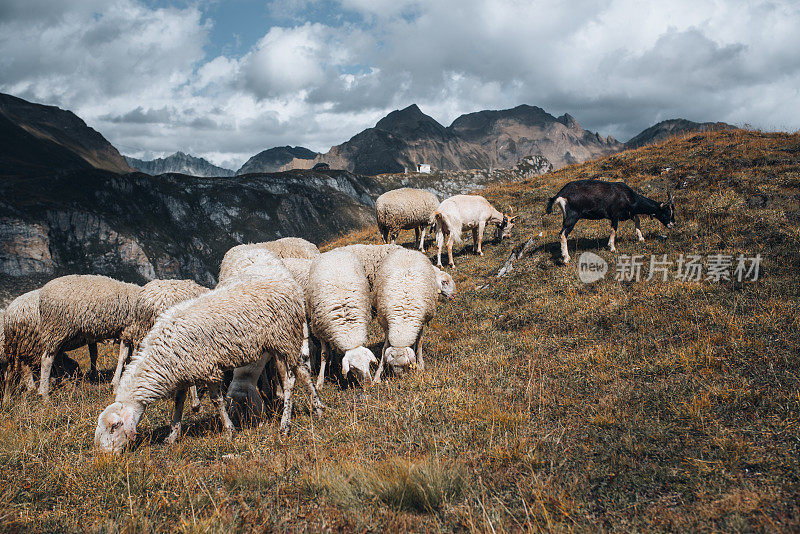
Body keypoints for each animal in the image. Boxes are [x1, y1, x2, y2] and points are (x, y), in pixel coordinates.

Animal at [96, 268, 324, 452]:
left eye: (114, 427)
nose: (106, 457)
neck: (161, 357)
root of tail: (289, 286)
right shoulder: (183, 373)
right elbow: (178, 403)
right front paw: (172, 436)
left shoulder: (207, 368)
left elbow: (217, 401)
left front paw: (230, 431)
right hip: (279, 343)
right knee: (299, 373)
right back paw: (318, 409)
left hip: (284, 338)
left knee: (293, 380)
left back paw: (286, 425)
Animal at [310, 249, 378, 388]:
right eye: (353, 368)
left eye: (368, 363)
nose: (369, 385)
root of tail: (332, 252)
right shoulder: (320, 330)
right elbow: (324, 355)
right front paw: (320, 381)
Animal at [372, 251, 454, 386]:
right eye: (392, 365)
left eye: (406, 365)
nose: (400, 379)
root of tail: (408, 251)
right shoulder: (386, 324)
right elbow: (384, 349)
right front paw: (377, 376)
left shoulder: (421, 321)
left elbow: (419, 342)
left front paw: (420, 365)